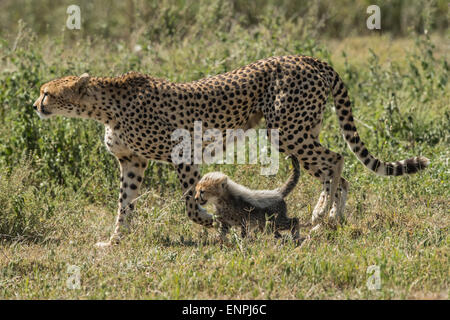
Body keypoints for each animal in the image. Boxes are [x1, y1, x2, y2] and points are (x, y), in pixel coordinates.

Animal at [34, 55, 428, 246]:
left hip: (287, 131)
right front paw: (115, 240)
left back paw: (320, 215)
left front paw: (210, 221)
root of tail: (307, 58)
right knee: (337, 171)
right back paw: (332, 217)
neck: (105, 106)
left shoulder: (184, 152)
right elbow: (124, 205)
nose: (35, 105)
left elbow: (190, 204)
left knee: (335, 159)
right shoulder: (132, 162)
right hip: (303, 129)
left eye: (47, 92)